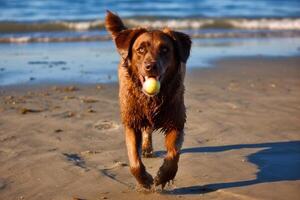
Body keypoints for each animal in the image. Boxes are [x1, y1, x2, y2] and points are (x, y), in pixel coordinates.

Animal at [104, 10, 191, 189]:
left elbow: (173, 154)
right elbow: (134, 161)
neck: (151, 100)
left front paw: (163, 176)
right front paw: (144, 180)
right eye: (141, 49)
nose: (151, 66)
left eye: (165, 49)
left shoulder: (176, 122)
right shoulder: (131, 121)